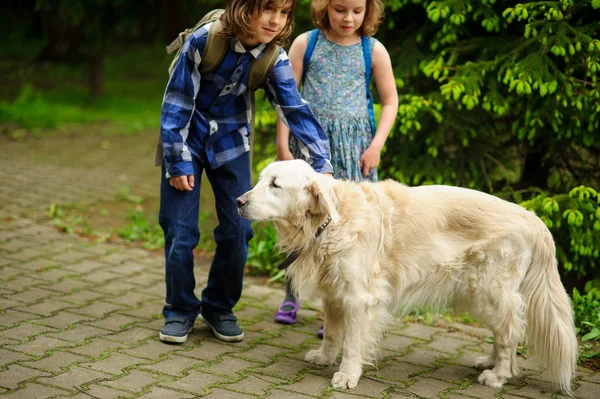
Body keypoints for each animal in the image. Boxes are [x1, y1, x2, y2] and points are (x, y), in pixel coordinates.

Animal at [234, 159, 576, 394]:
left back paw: (498, 375)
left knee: (509, 333)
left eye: (275, 184)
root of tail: (534, 219)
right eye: (261, 180)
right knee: (502, 331)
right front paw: (324, 356)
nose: (238, 201)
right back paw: (488, 362)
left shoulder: (359, 298)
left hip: (489, 289)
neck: (329, 223)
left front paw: (348, 374)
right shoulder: (333, 293)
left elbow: (353, 343)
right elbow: (331, 333)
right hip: (480, 292)